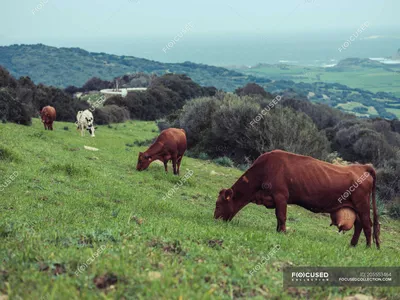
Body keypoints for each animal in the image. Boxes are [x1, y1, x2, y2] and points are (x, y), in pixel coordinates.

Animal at [214, 150, 380, 248]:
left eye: (218, 204)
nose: (215, 219)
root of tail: (361, 167)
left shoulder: (281, 196)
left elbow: (281, 216)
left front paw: (282, 232)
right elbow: (278, 217)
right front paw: (278, 231)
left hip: (362, 205)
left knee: (367, 225)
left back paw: (367, 247)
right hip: (356, 207)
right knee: (359, 225)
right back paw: (353, 245)